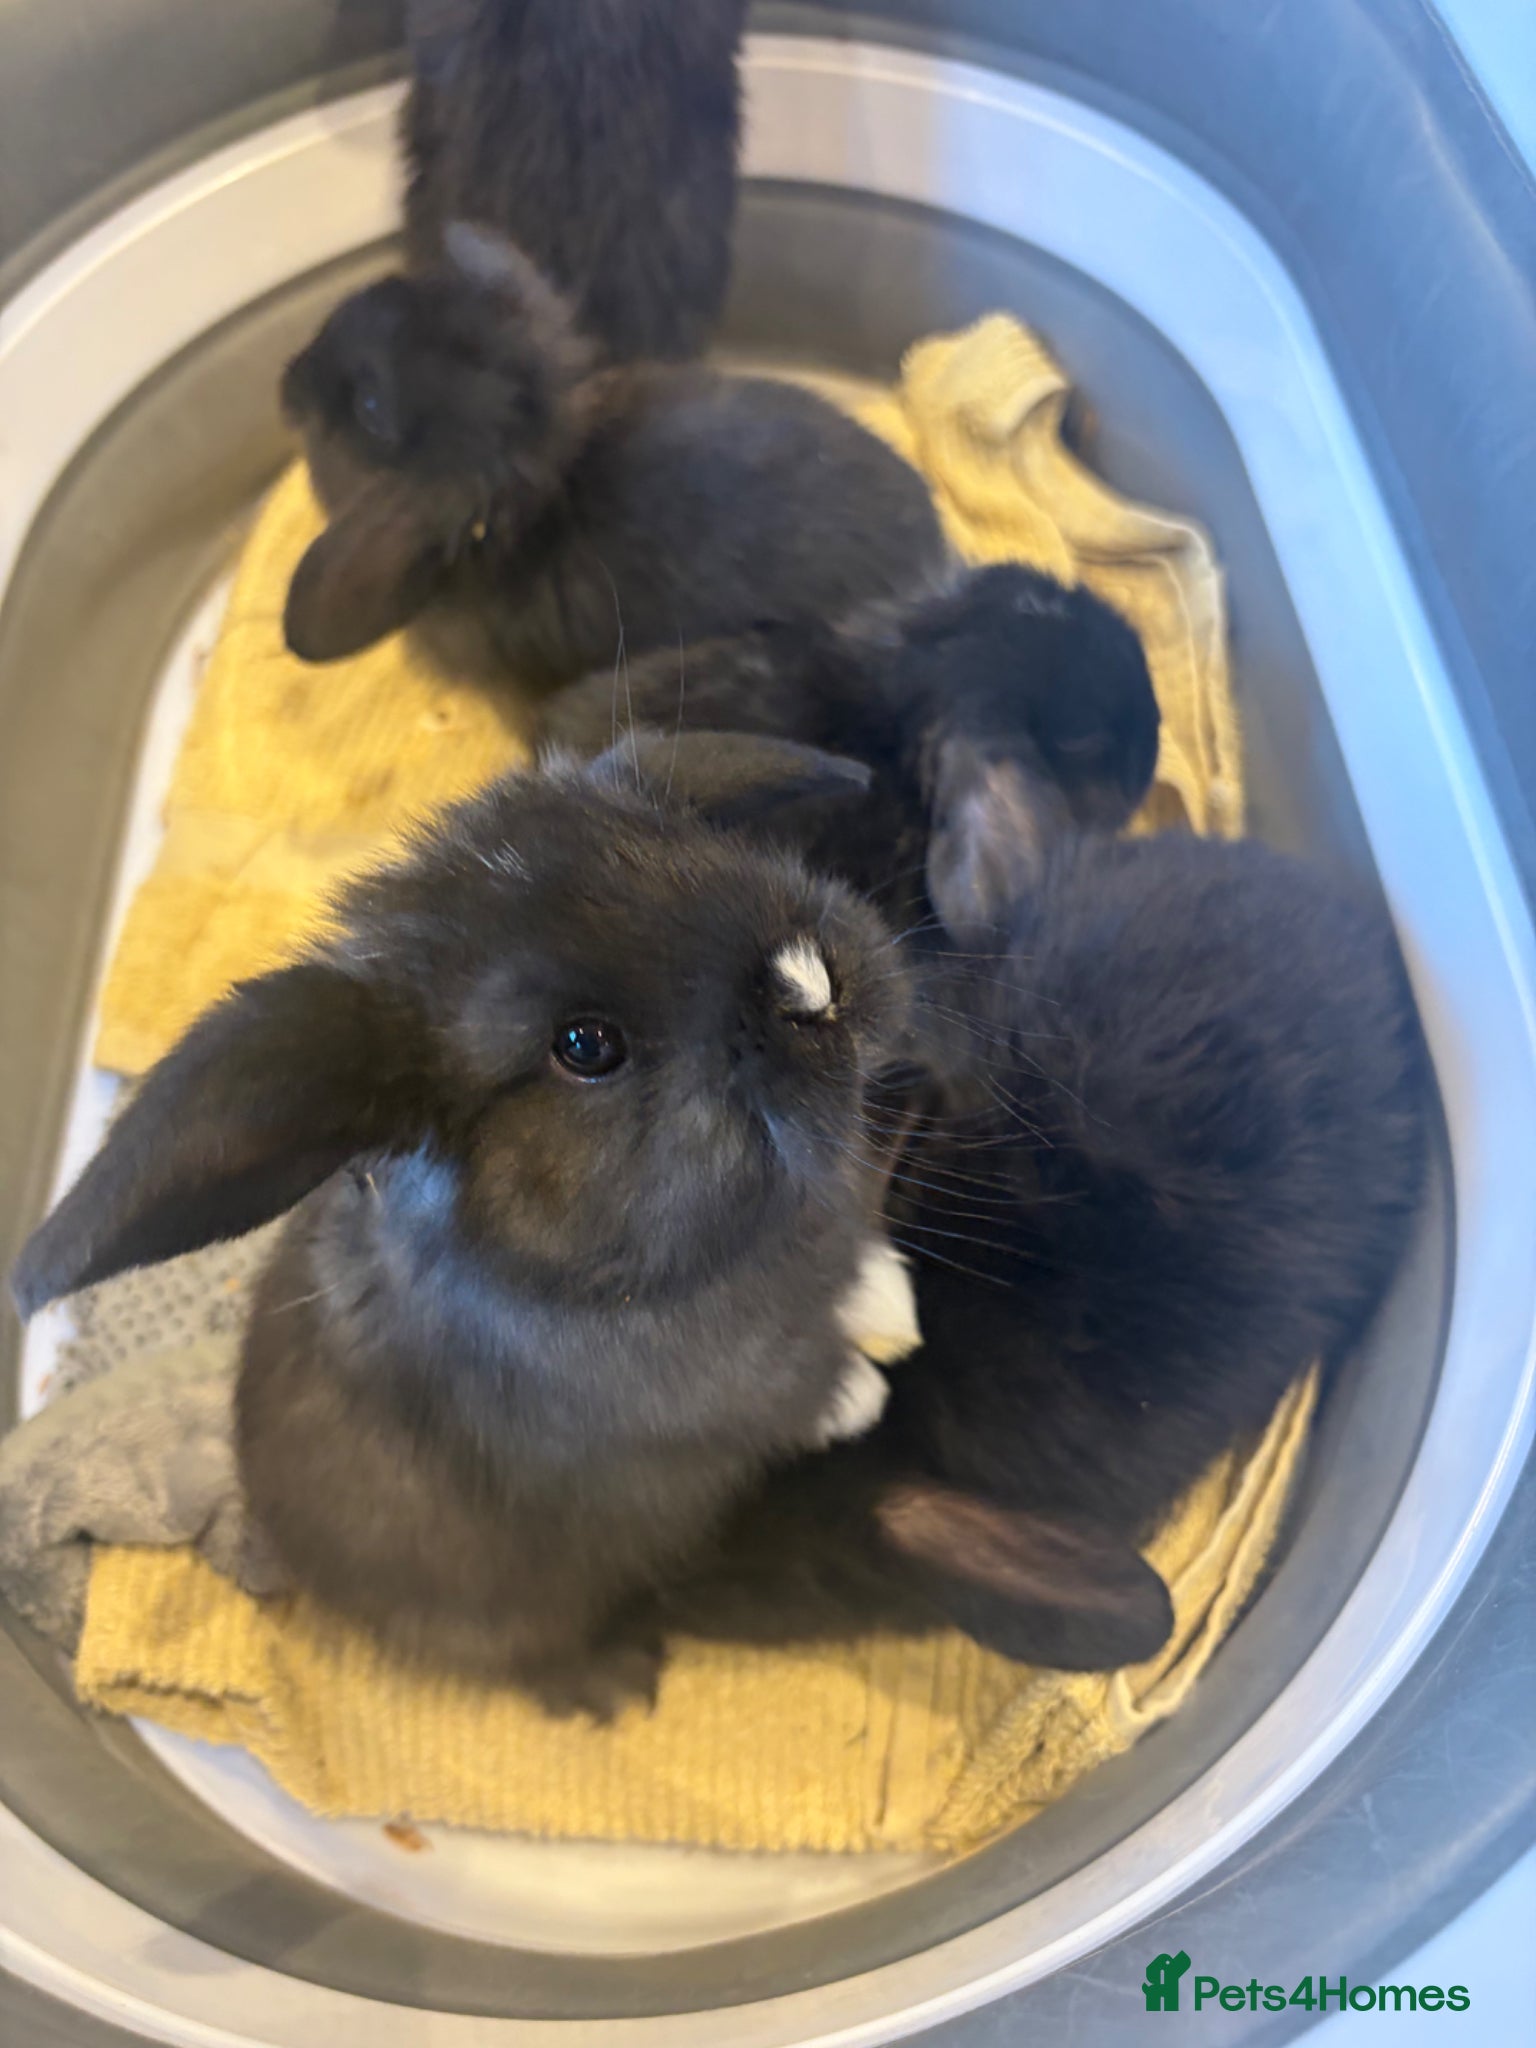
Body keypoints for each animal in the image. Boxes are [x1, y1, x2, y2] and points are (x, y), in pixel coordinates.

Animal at [12, 732, 938, 1716]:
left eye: (694, 850)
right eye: (585, 1045)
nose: (810, 985)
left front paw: (895, 1308)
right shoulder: (719, 1395)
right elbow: (800, 1387)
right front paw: (866, 1390)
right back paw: (614, 1681)